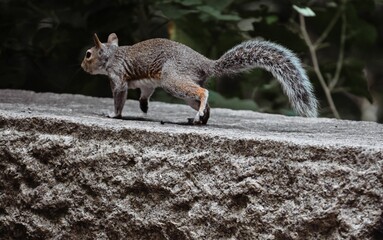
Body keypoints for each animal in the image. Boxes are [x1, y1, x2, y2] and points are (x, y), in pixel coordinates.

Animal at [82, 32, 320, 124]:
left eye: (88, 54)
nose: (82, 66)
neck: (112, 54)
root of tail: (205, 63)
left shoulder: (118, 78)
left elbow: (119, 98)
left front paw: (113, 114)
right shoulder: (147, 83)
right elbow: (146, 92)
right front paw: (143, 106)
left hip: (172, 79)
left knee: (203, 92)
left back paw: (198, 116)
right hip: (182, 87)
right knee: (204, 104)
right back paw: (200, 118)